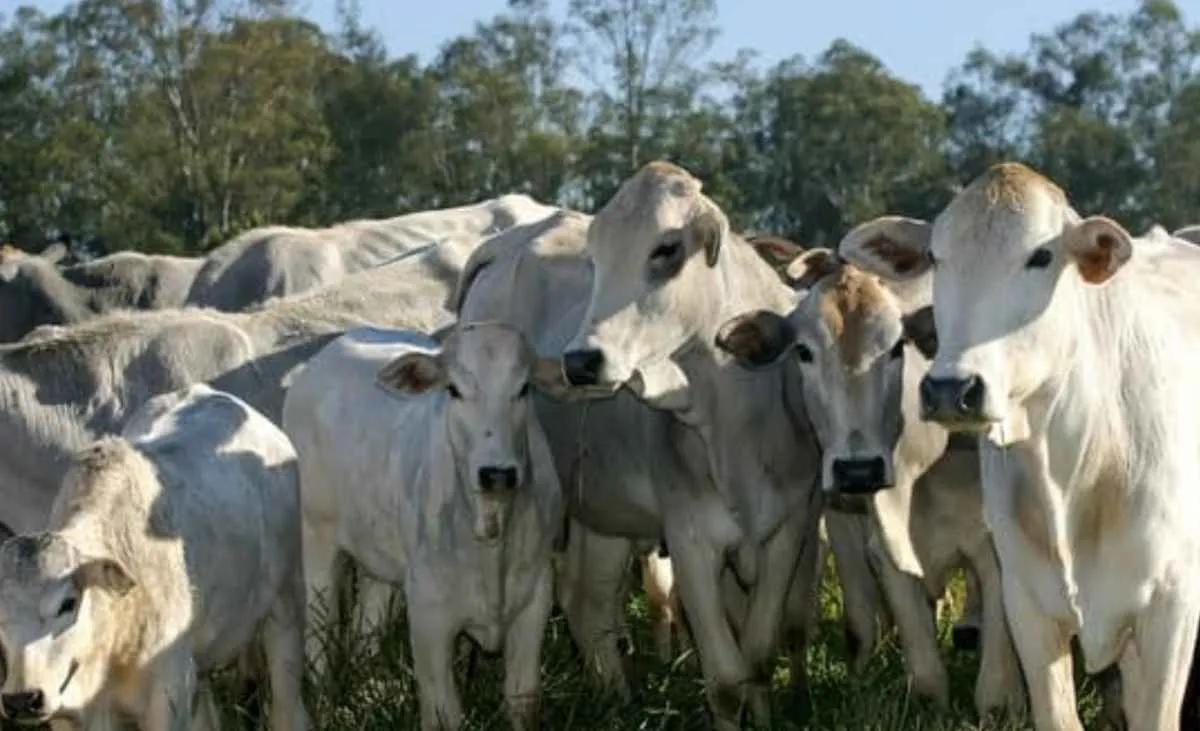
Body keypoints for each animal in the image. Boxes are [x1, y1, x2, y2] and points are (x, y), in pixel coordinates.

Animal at [282, 323, 565, 731]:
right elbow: (443, 713)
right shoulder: (429, 611)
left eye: (524, 388)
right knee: (319, 631)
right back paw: (324, 699)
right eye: (454, 390)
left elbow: (522, 698)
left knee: (366, 625)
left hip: (377, 556)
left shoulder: (536, 596)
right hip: (315, 540)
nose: (497, 473)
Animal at [455, 164, 825, 729]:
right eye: (596, 255)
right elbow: (725, 681)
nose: (580, 360)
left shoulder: (788, 529)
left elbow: (758, 655)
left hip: (601, 508)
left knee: (587, 601)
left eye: (666, 248)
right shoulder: (691, 539)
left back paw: (616, 699)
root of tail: (502, 246)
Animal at [714, 248, 1025, 718]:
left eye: (897, 347)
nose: (858, 470)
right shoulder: (881, 548)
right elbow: (924, 675)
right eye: (803, 352)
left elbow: (994, 688)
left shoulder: (994, 555)